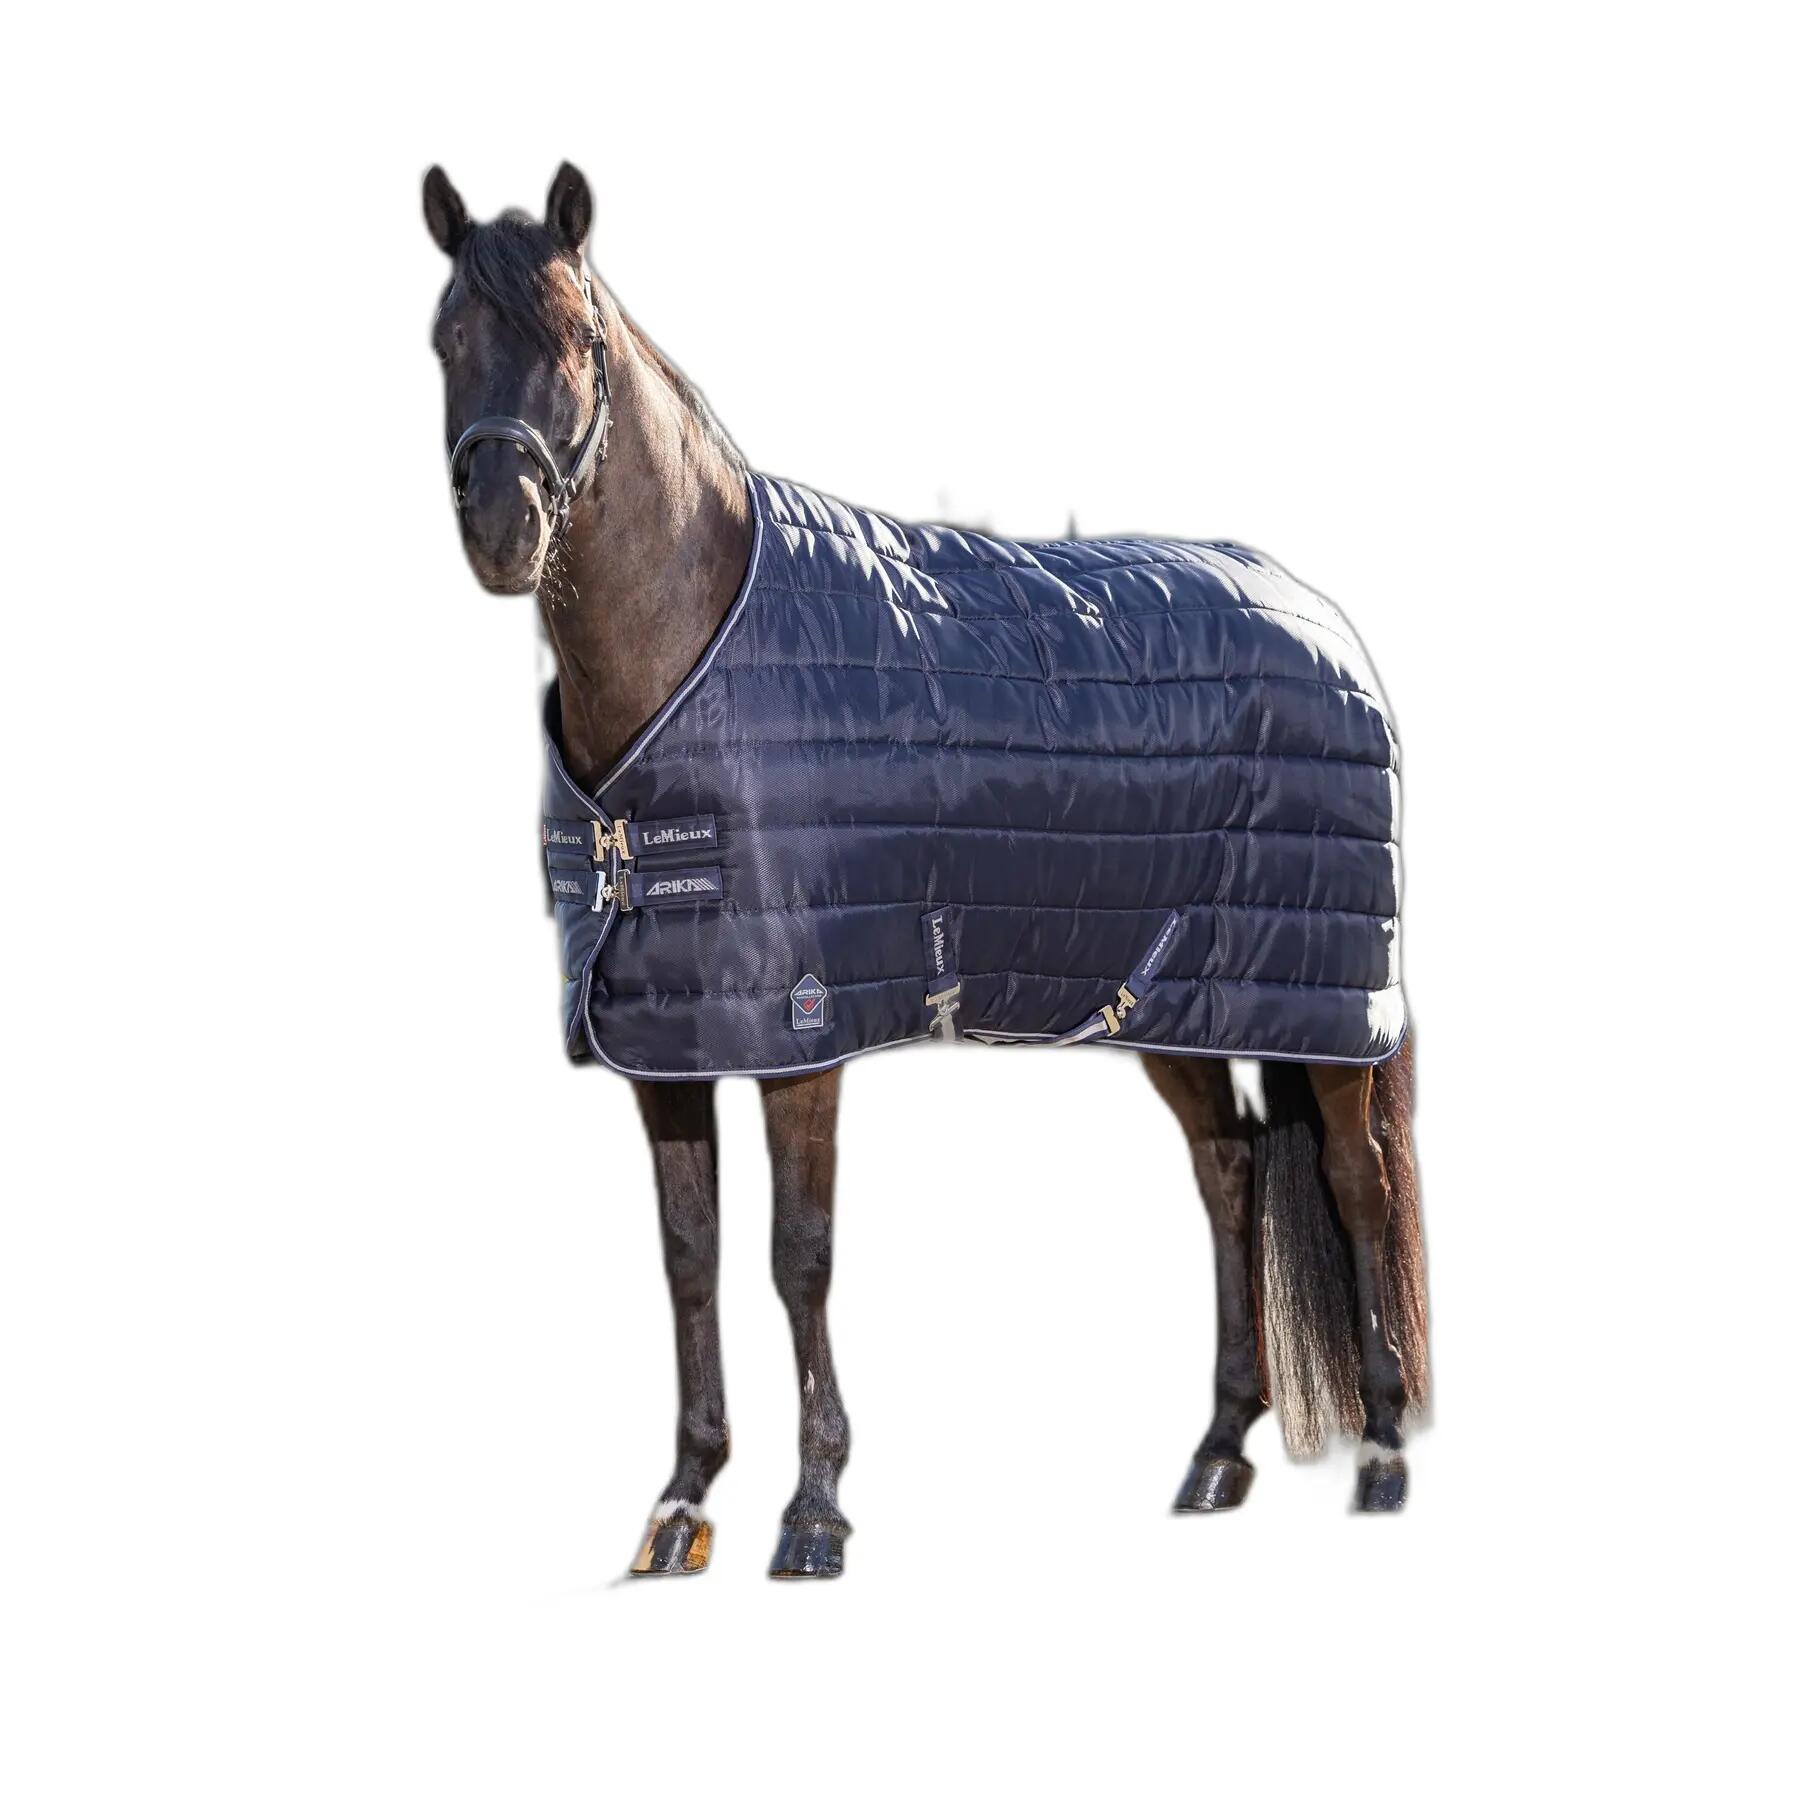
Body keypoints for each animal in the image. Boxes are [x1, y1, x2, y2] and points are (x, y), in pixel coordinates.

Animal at [421, 162, 1429, 1577]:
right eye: (446, 339)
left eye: (575, 337)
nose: (504, 529)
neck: (703, 646)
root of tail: (1323, 623)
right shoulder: (663, 1037)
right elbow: (690, 1256)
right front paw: (682, 1500)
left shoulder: (804, 1029)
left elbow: (797, 1255)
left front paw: (813, 1513)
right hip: (1165, 996)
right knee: (1229, 1173)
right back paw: (1218, 1452)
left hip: (1330, 1014)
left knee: (1355, 1188)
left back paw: (1384, 1457)